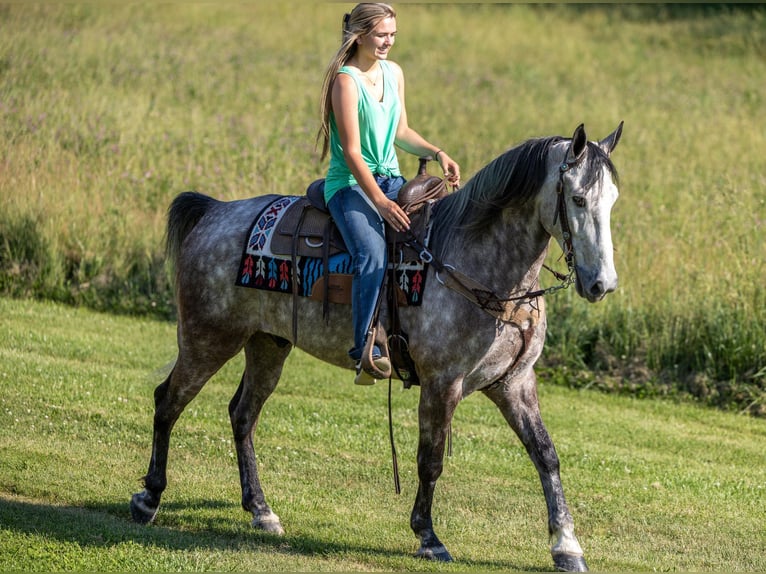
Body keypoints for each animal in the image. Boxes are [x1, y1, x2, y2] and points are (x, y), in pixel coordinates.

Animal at [130, 122, 623, 572]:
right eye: (577, 199)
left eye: (612, 201)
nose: (603, 284)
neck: (476, 264)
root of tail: (213, 212)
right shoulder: (442, 383)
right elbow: (430, 460)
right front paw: (428, 537)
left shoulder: (513, 383)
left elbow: (546, 456)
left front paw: (566, 546)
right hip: (208, 337)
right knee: (169, 400)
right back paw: (149, 497)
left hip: (267, 345)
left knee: (242, 415)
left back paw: (261, 510)